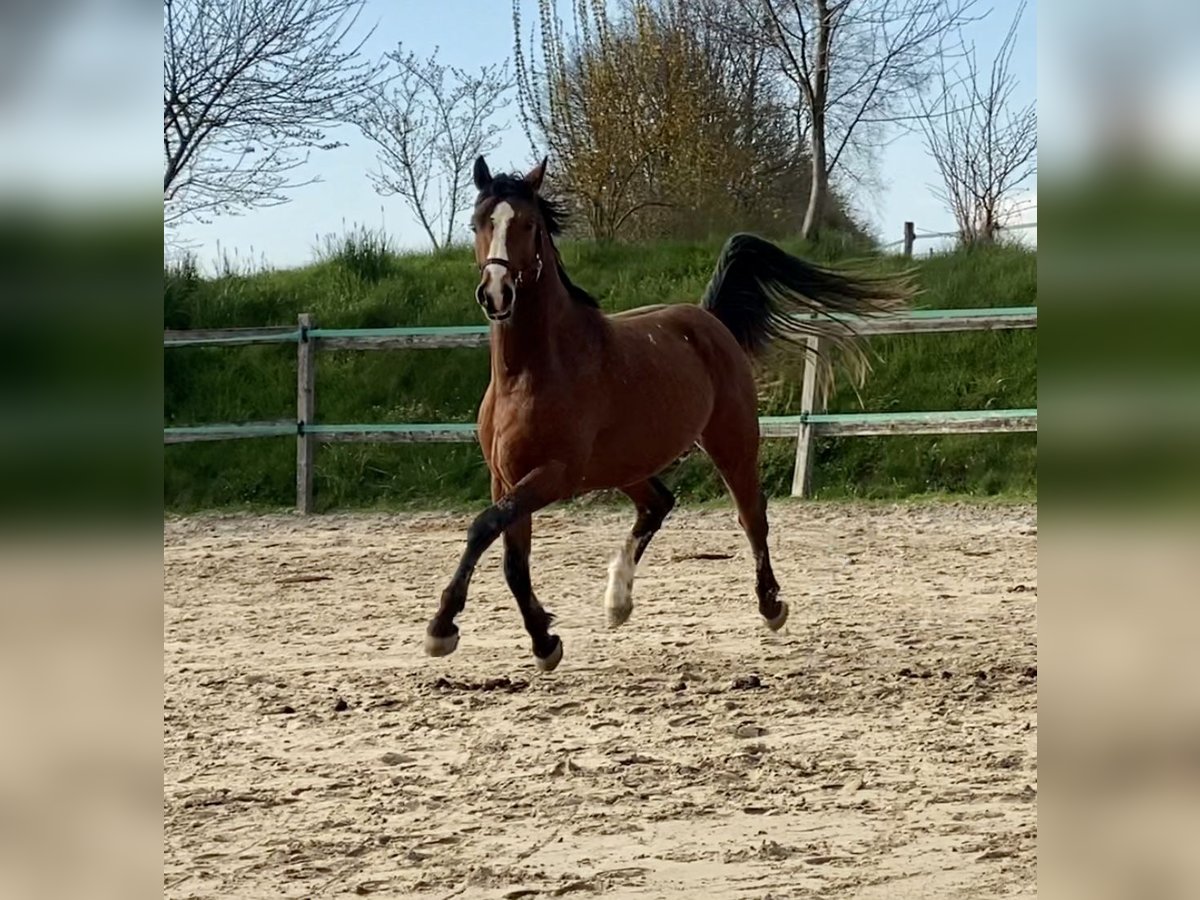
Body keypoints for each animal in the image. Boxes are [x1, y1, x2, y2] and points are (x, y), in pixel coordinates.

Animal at [427, 158, 902, 672]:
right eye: (478, 223)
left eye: (528, 225)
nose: (496, 293)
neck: (530, 373)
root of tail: (707, 318)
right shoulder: (506, 477)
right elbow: (512, 559)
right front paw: (543, 640)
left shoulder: (553, 475)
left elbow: (482, 528)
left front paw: (443, 629)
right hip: (625, 464)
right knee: (658, 504)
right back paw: (618, 602)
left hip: (730, 440)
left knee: (751, 515)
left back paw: (771, 605)